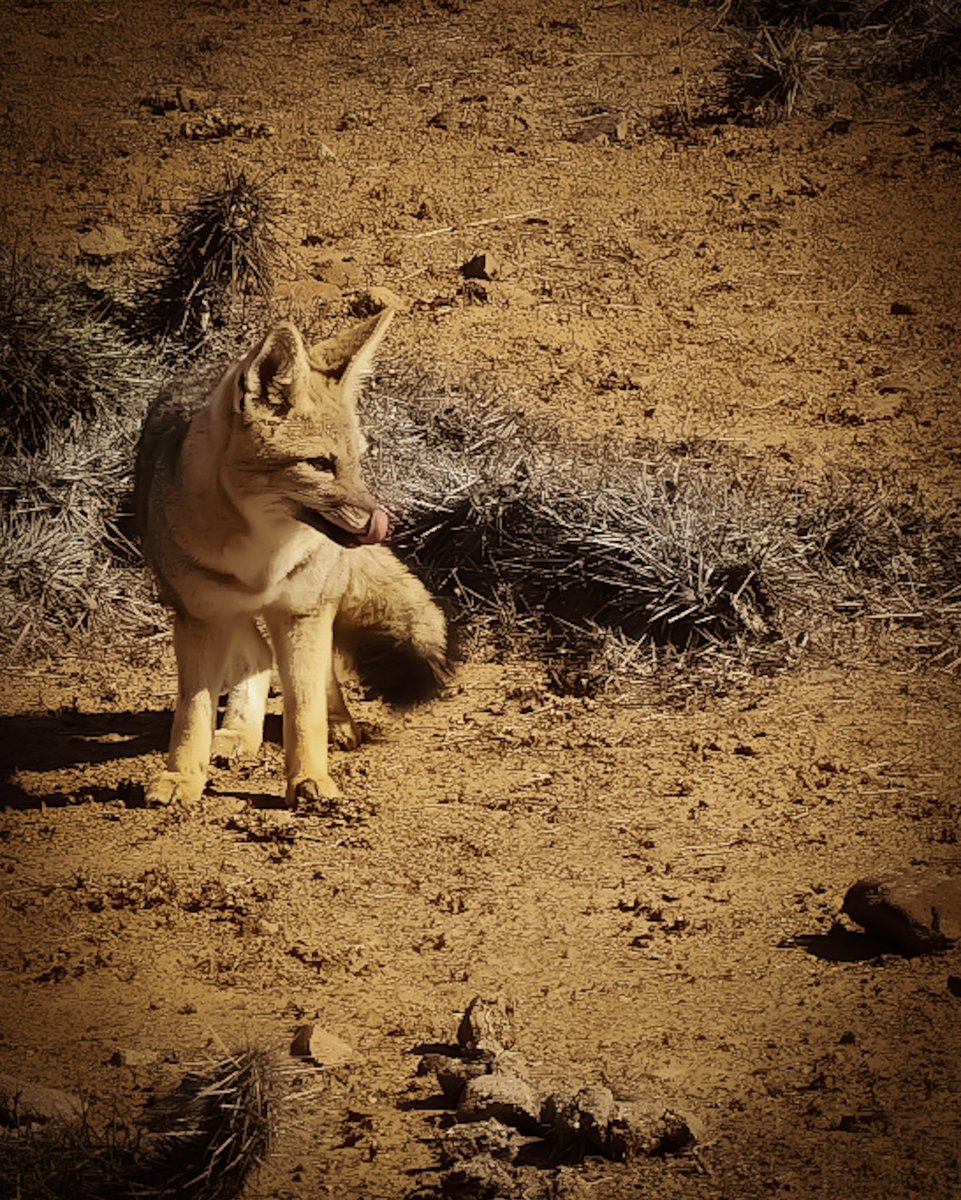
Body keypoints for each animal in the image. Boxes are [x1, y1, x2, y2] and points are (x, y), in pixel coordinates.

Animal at [134, 314, 451, 811]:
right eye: (319, 464)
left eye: (358, 461)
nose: (379, 522)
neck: (263, 557)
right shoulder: (201, 616)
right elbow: (193, 712)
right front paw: (182, 776)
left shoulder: (304, 612)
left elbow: (305, 710)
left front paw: (310, 780)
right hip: (217, 607)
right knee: (258, 655)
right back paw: (239, 732)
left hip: (312, 607)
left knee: (321, 675)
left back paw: (340, 724)